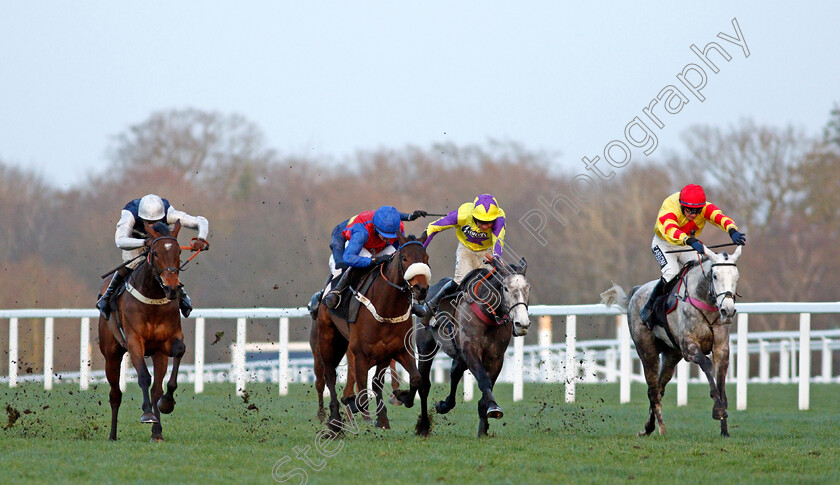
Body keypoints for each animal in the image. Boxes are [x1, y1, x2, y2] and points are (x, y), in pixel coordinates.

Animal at [98, 221, 189, 440]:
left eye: (179, 252)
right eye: (155, 253)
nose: (173, 288)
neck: (153, 297)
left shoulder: (168, 341)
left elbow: (179, 351)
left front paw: (167, 403)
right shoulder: (134, 341)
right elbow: (143, 377)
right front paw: (147, 413)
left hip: (158, 354)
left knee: (156, 389)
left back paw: (157, 432)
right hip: (111, 355)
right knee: (115, 393)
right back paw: (112, 435)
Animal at [312, 233, 430, 432]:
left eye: (426, 258)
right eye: (404, 258)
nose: (421, 289)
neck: (387, 308)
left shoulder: (395, 350)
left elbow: (413, 378)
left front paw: (391, 409)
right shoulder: (360, 353)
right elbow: (361, 393)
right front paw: (356, 407)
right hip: (327, 339)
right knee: (329, 376)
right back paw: (334, 419)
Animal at [416, 255, 528, 436]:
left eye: (527, 288)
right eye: (505, 288)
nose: (522, 324)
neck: (488, 315)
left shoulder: (496, 357)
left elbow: (487, 386)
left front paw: (483, 428)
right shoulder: (470, 351)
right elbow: (483, 380)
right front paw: (493, 407)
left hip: (459, 355)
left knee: (454, 373)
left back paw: (444, 405)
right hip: (426, 347)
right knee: (424, 385)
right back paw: (424, 426)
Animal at [600, 244, 744, 436]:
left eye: (736, 276)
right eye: (715, 276)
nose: (727, 311)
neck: (703, 299)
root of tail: (637, 291)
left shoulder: (721, 348)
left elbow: (721, 382)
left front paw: (724, 430)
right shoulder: (688, 347)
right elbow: (706, 365)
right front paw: (718, 410)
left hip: (671, 355)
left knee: (659, 387)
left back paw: (649, 426)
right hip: (647, 351)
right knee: (653, 390)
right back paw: (660, 428)